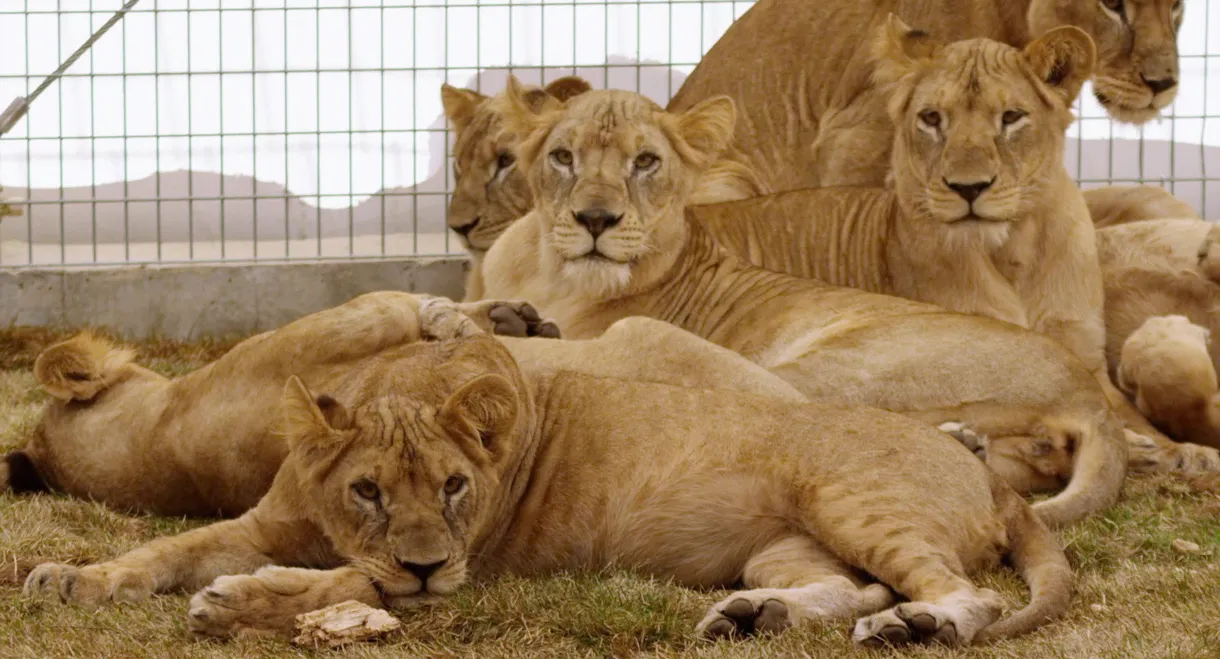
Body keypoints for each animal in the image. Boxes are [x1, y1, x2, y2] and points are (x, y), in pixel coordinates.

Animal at [4, 292, 810, 518]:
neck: (159, 442)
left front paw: (514, 318)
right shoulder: (345, 321)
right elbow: (409, 308)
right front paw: (473, 320)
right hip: (652, 332)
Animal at [23, 331, 1071, 649]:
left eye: (455, 485)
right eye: (366, 489)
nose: (423, 563)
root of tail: (996, 480)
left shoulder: (472, 572)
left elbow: (349, 584)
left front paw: (238, 601)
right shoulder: (260, 518)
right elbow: (164, 548)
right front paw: (70, 578)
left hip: (851, 500)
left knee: (960, 593)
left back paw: (915, 627)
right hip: (791, 541)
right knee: (850, 585)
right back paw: (754, 616)